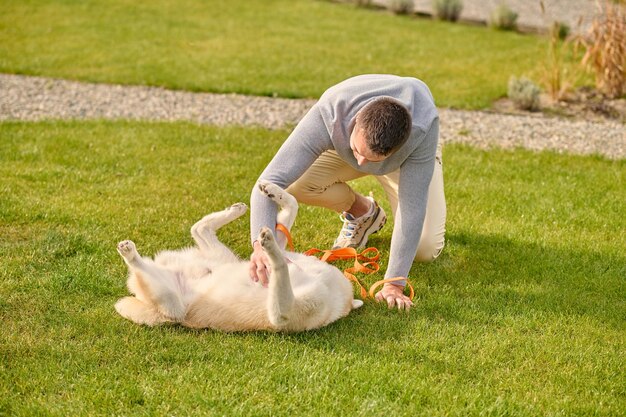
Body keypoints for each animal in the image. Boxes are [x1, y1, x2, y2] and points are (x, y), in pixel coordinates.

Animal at [114, 180, 364, 330]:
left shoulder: (282, 315)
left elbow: (280, 265)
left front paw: (270, 247)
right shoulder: (279, 248)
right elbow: (293, 207)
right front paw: (274, 192)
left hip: (172, 304)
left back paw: (130, 253)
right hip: (224, 258)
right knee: (199, 228)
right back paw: (235, 210)